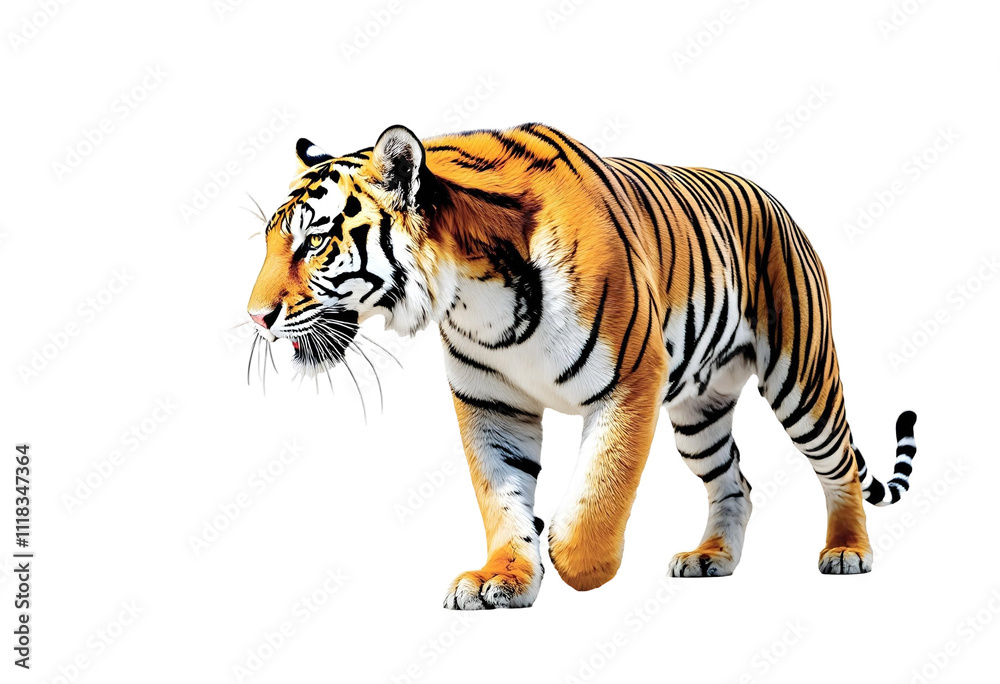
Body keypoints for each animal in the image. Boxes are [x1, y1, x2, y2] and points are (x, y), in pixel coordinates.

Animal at [246, 123, 918, 610]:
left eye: (313, 242)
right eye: (271, 242)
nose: (255, 317)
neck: (471, 293)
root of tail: (778, 202)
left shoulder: (632, 379)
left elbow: (598, 494)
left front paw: (578, 566)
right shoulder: (491, 405)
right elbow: (500, 497)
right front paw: (503, 577)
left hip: (802, 377)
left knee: (839, 466)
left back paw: (846, 552)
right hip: (699, 415)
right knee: (736, 485)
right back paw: (711, 558)